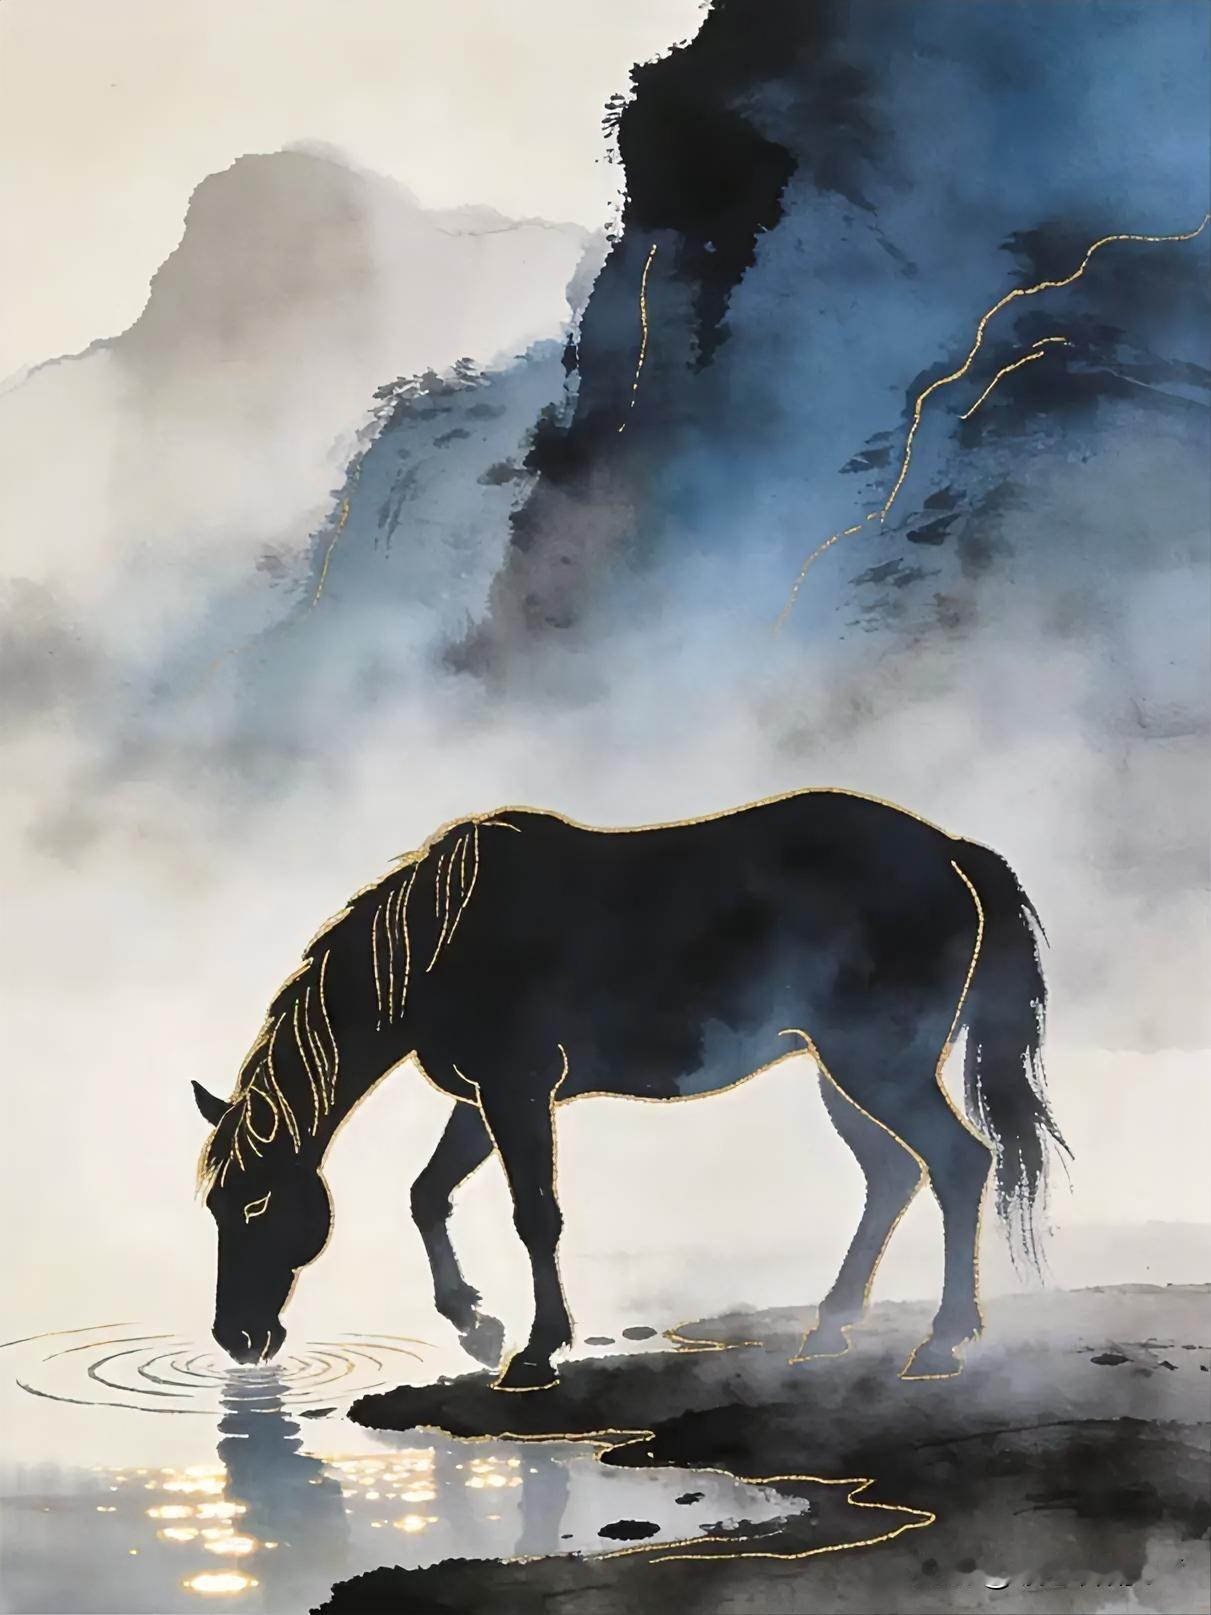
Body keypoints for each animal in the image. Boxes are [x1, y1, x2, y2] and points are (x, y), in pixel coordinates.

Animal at [193, 788, 1068, 1390]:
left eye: (257, 1203)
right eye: (214, 1206)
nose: (237, 1339)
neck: (443, 939)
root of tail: (948, 850)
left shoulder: (518, 1089)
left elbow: (534, 1214)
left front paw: (534, 1350)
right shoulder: (481, 1099)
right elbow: (426, 1193)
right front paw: (476, 1324)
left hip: (873, 1064)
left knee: (956, 1163)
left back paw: (943, 1338)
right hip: (839, 1071)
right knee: (892, 1175)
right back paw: (830, 1328)